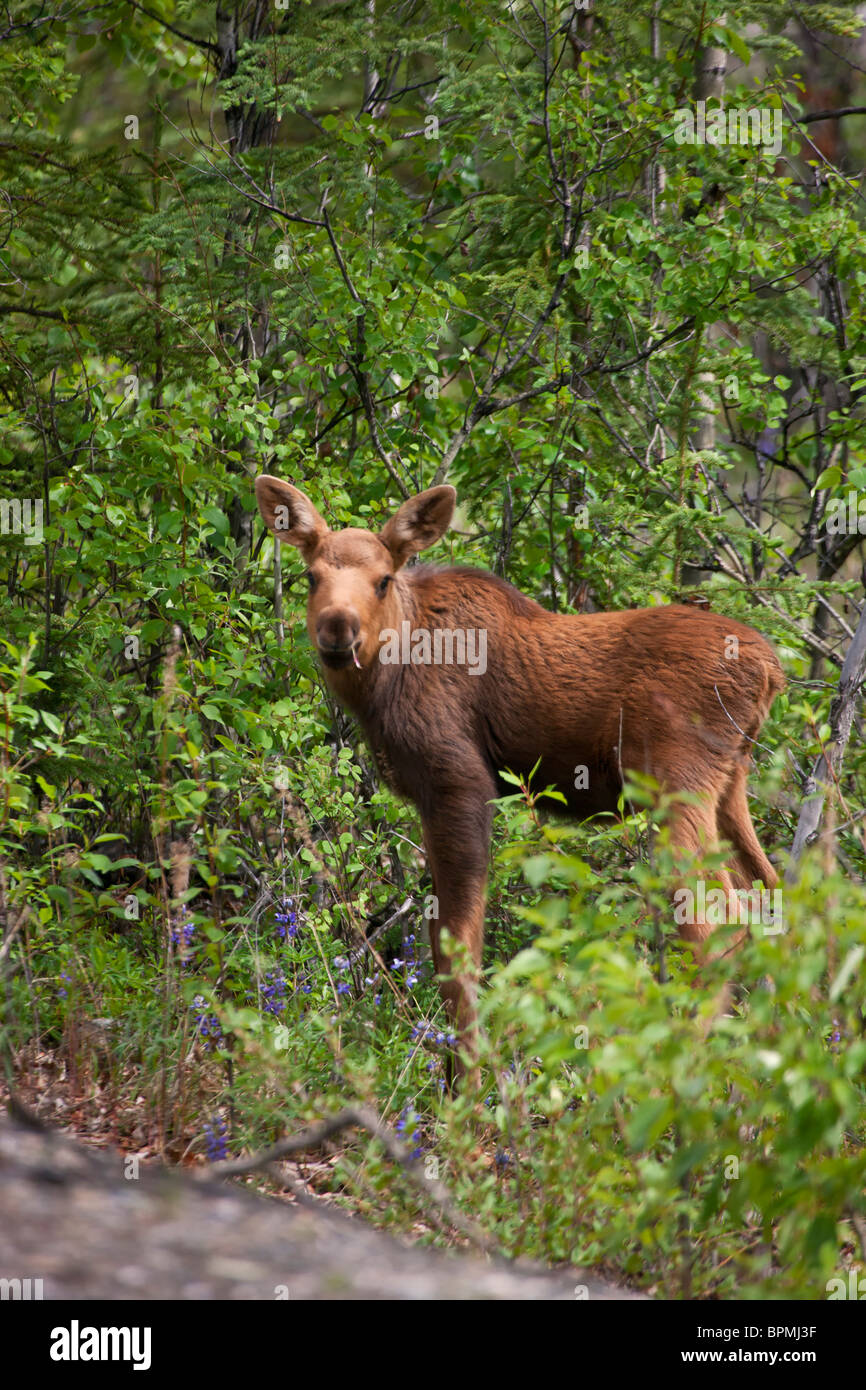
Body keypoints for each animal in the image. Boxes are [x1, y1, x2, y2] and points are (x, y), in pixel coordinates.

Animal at [255, 472, 783, 1067]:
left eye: (383, 580)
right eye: (310, 576)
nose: (337, 630)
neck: (383, 686)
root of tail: (772, 670)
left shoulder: (458, 780)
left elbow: (459, 955)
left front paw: (469, 1082)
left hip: (677, 785)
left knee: (718, 929)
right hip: (730, 784)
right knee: (770, 897)